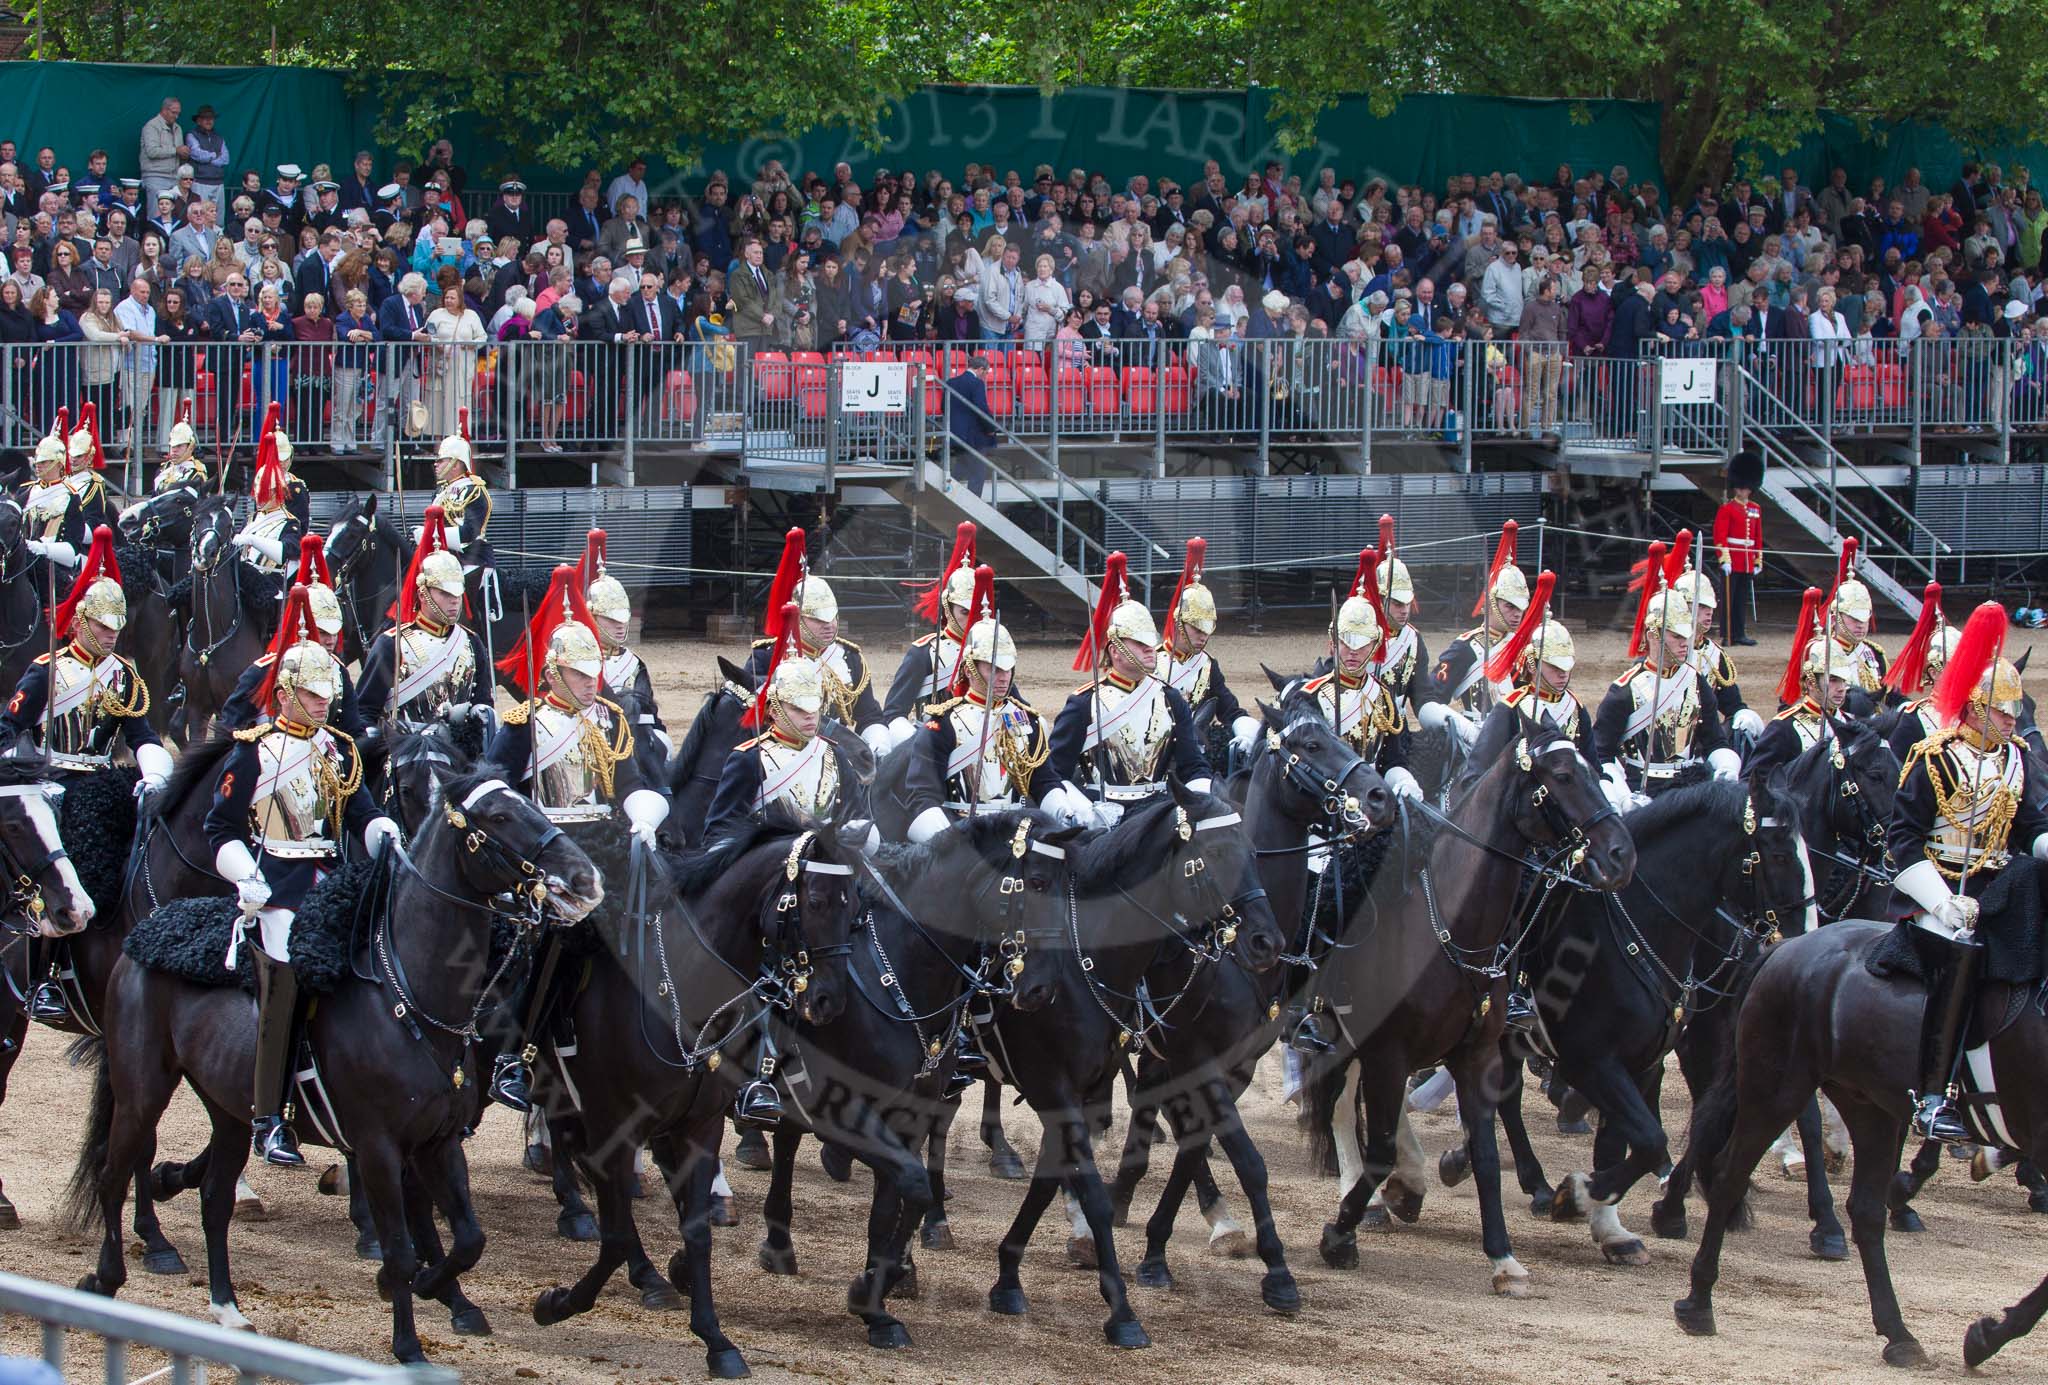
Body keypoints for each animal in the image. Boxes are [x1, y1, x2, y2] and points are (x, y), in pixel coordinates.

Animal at [70, 766, 598, 1360]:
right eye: (501, 816)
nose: (585, 879)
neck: (409, 997)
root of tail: (146, 932)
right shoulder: (378, 1147)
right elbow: (400, 1247)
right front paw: (409, 1345)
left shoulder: (438, 1142)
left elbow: (468, 1239)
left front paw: (435, 1289)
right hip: (143, 1091)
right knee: (114, 1175)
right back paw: (108, 1277)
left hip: (230, 1113)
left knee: (215, 1198)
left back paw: (227, 1308)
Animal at [983, 782, 1286, 1344]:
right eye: (1215, 855)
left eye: (1254, 853)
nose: (1266, 942)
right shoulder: (1062, 1083)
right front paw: (1122, 1309)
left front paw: (1010, 1276)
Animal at [1302, 725, 1638, 1294]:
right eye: (1562, 776)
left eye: (1593, 770)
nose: (1621, 855)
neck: (1450, 930)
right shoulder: (1387, 1052)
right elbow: (1378, 1148)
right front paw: (1339, 1234)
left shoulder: (1474, 1055)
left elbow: (1484, 1153)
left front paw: (1503, 1257)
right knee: (1346, 1112)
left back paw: (1407, 1186)